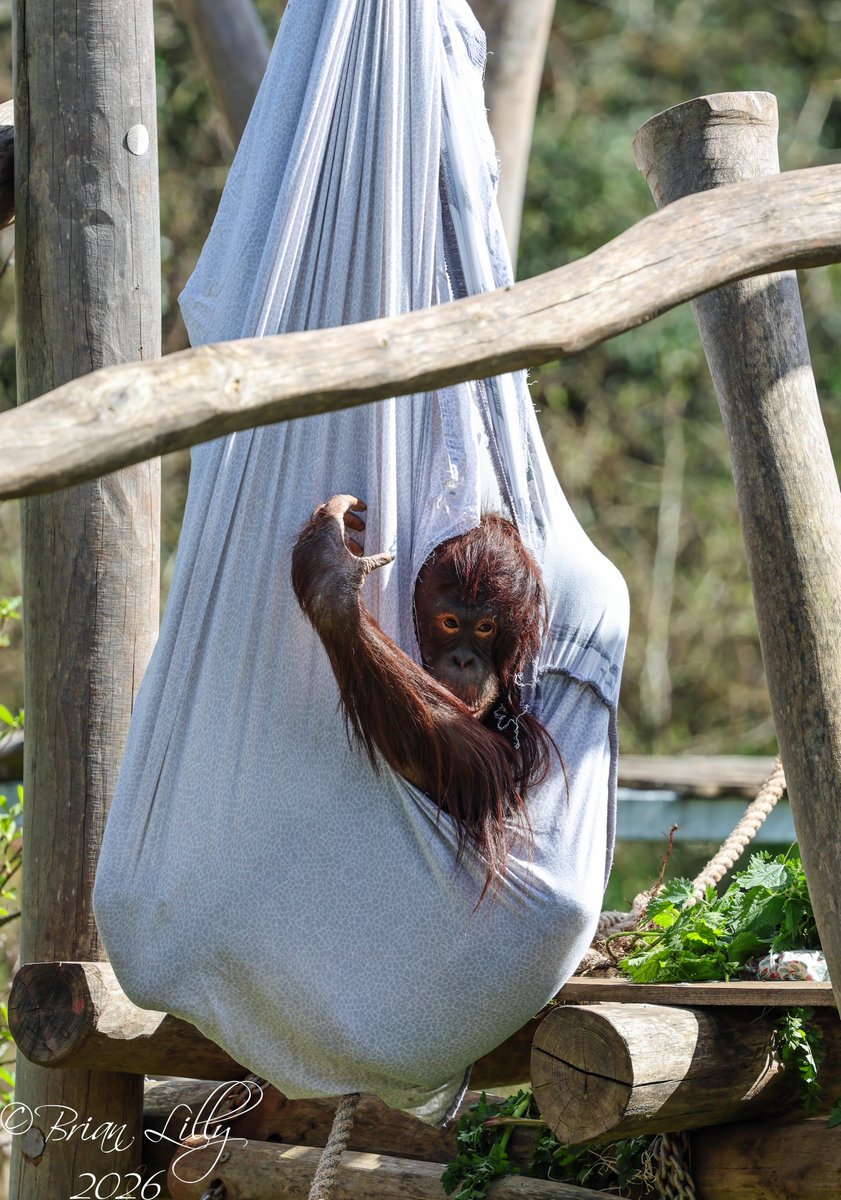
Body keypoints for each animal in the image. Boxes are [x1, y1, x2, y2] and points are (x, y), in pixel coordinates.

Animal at [291, 494, 557, 893]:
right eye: (449, 623)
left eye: (485, 627)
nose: (463, 660)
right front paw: (329, 565)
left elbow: (489, 774)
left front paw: (328, 572)